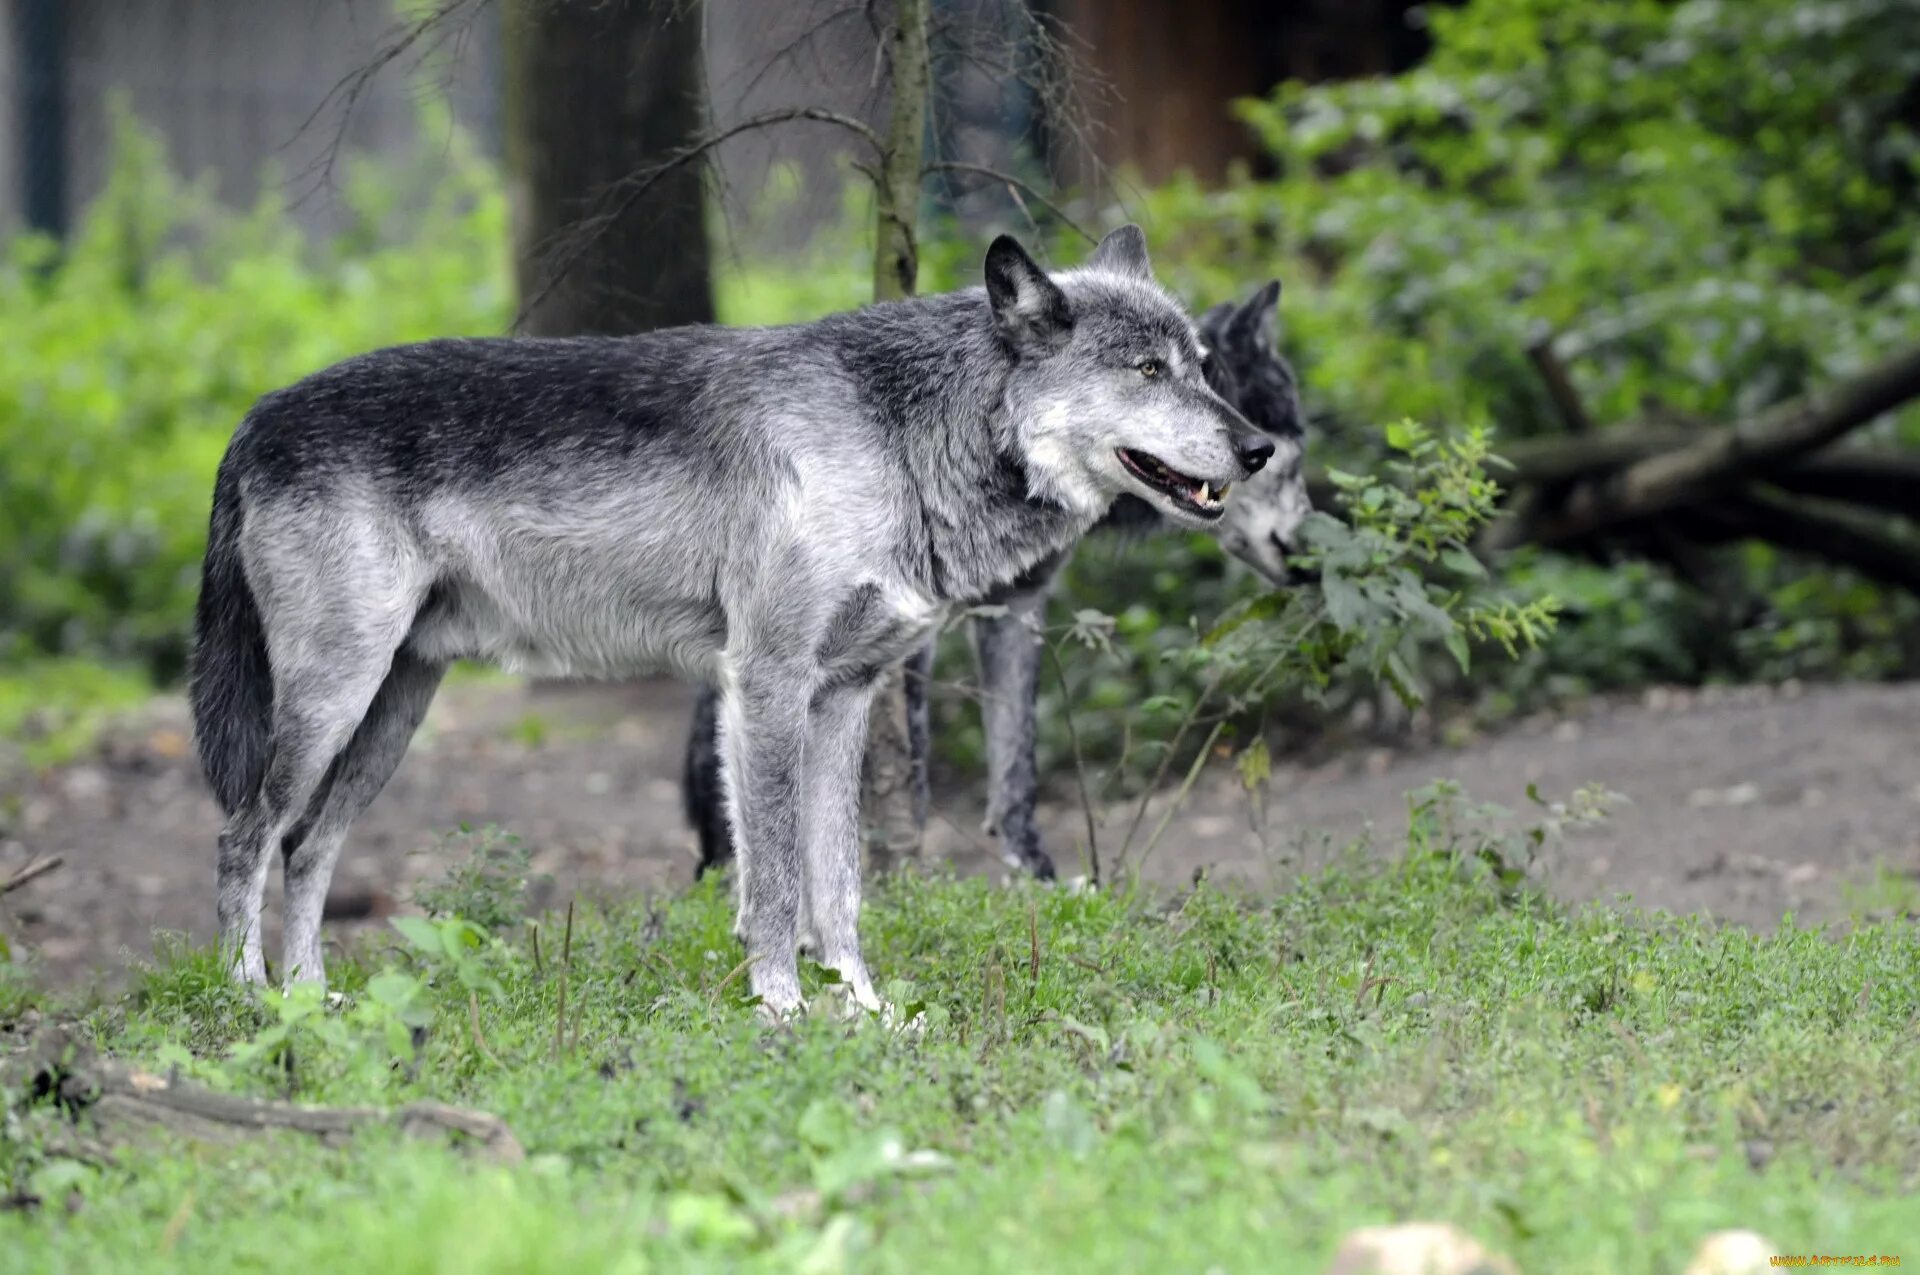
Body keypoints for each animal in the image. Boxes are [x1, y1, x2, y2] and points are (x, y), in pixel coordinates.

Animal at [683, 278, 1313, 875]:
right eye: (1279, 453)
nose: (1309, 554)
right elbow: (914, 756)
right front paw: (909, 875)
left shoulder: (1018, 605)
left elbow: (1017, 753)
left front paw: (1031, 869)